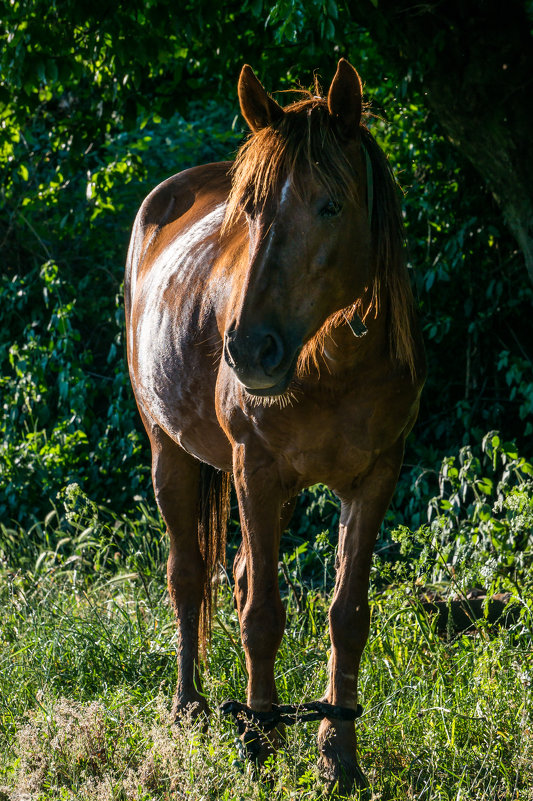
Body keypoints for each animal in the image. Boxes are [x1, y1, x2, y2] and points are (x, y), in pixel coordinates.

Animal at [123, 59, 424, 792]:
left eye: (330, 205)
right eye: (252, 208)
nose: (250, 350)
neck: (332, 361)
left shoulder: (375, 476)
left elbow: (347, 615)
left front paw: (336, 756)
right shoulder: (254, 468)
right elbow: (262, 614)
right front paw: (258, 745)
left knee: (231, 574)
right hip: (171, 454)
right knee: (188, 576)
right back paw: (191, 708)